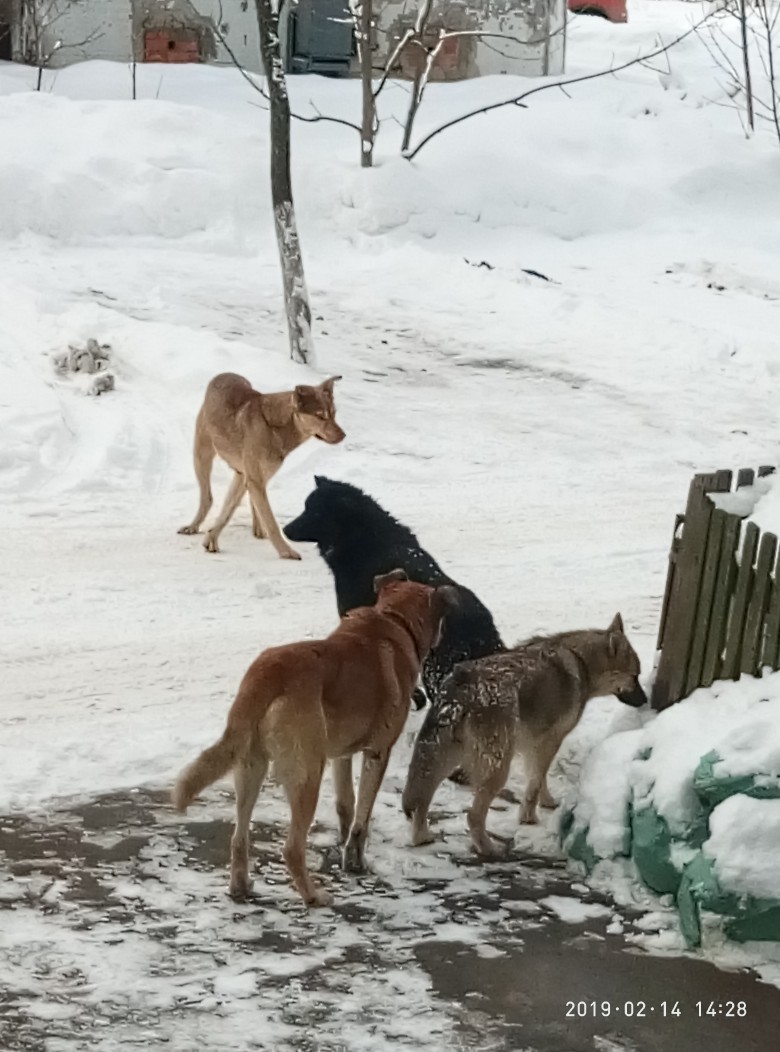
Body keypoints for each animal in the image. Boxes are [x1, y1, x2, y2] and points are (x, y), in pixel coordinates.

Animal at [171, 572, 456, 908]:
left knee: (239, 837)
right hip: (307, 775)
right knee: (292, 848)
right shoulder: (377, 753)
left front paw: (344, 844)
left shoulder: (341, 755)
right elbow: (362, 817)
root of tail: (267, 675)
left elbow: (347, 805)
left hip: (249, 767)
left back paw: (240, 887)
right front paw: (355, 862)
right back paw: (313, 896)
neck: (394, 618)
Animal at [181, 374, 345, 563]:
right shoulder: (252, 478)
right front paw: (287, 552)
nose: (343, 435)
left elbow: (229, 510)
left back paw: (257, 528)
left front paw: (211, 539)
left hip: (244, 473)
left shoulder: (249, 477)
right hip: (202, 455)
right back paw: (193, 526)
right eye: (320, 416)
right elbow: (270, 521)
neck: (275, 426)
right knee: (207, 498)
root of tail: (222, 375)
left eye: (334, 414)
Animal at [282, 477, 501, 706]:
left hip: (436, 670)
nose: (285, 529)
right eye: (306, 507)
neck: (362, 536)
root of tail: (479, 621)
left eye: (315, 512)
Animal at [402, 614, 644, 854]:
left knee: (420, 802)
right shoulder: (550, 741)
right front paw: (529, 818)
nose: (645, 700)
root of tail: (461, 686)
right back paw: (488, 849)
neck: (582, 663)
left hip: (445, 759)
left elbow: (539, 778)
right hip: (497, 769)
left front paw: (547, 802)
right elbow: (534, 785)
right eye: (635, 677)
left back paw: (422, 838)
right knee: (472, 816)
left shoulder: (536, 744)